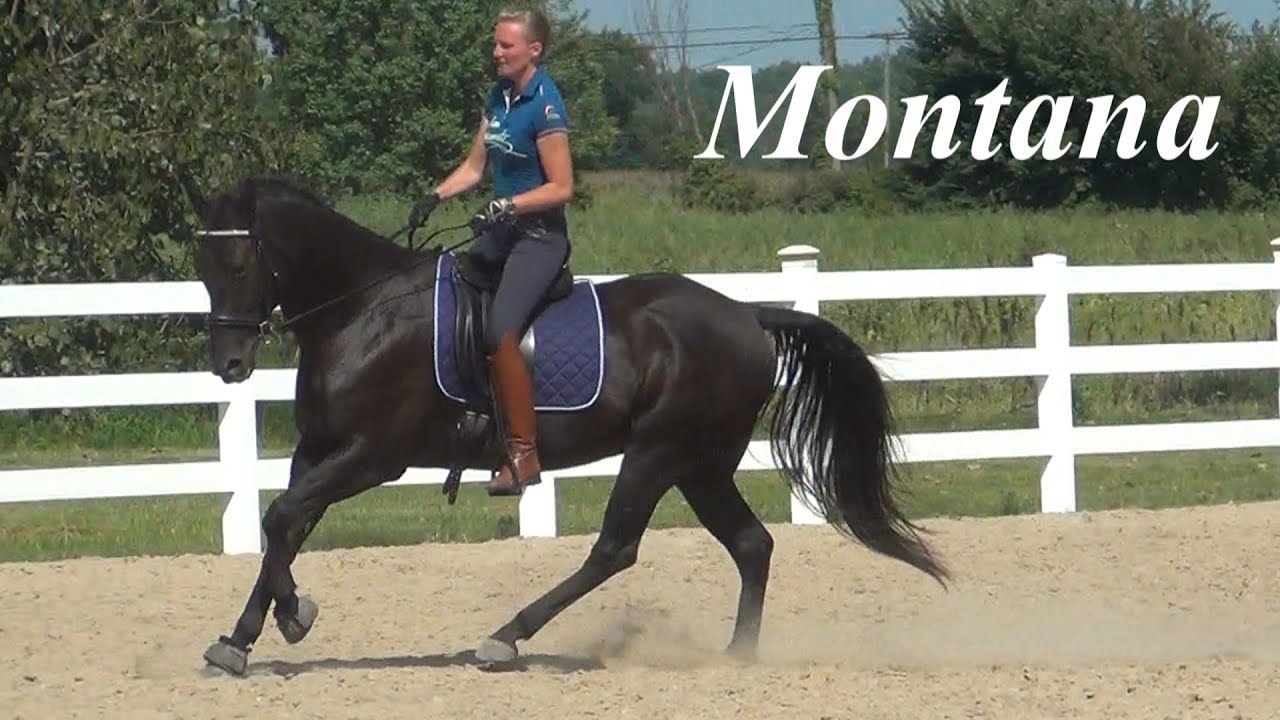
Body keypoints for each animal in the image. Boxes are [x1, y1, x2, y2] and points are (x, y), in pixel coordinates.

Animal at [176, 173, 949, 677]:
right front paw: (246, 636)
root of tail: (745, 315)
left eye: (240, 262)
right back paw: (737, 656)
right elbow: (284, 524)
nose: (230, 364)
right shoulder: (318, 451)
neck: (361, 311)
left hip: (658, 455)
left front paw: (292, 616)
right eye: (202, 264)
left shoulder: (372, 456)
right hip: (701, 466)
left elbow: (281, 517)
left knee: (615, 549)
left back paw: (506, 638)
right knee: (751, 544)